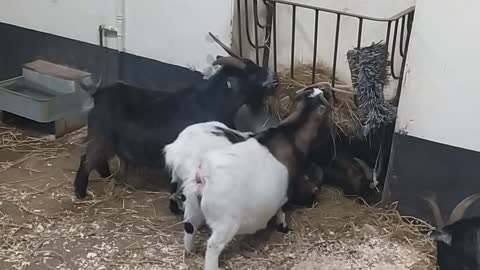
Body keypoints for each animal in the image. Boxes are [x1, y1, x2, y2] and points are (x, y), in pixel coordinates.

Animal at [73, 31, 280, 202]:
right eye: (249, 75)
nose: (274, 78)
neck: (212, 101)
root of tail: (98, 94)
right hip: (101, 139)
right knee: (86, 160)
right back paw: (80, 193)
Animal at [178, 87, 332, 268]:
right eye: (326, 99)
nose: (327, 90)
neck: (290, 134)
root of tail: (203, 176)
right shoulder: (287, 190)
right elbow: (282, 209)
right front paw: (283, 227)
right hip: (225, 223)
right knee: (213, 244)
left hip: (192, 206)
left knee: (189, 227)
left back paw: (189, 250)